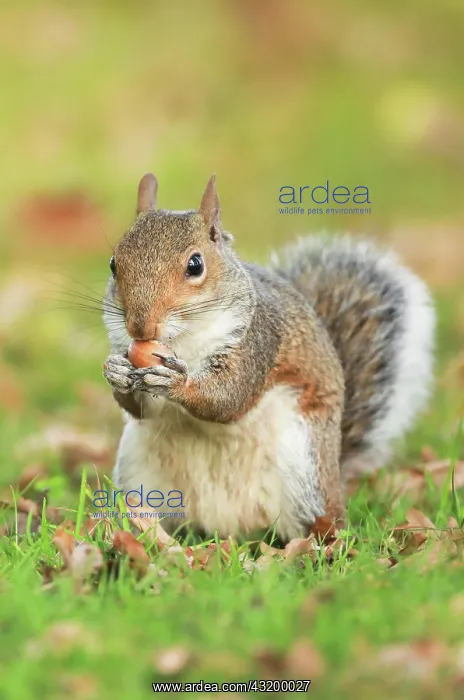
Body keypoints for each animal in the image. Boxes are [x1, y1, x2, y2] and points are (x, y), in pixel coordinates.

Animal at [102, 173, 435, 541]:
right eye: (114, 264)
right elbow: (141, 409)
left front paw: (177, 381)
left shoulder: (260, 340)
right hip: (139, 477)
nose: (140, 327)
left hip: (306, 469)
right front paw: (115, 371)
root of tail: (229, 529)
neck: (184, 341)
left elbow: (229, 397)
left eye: (195, 264)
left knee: (322, 520)